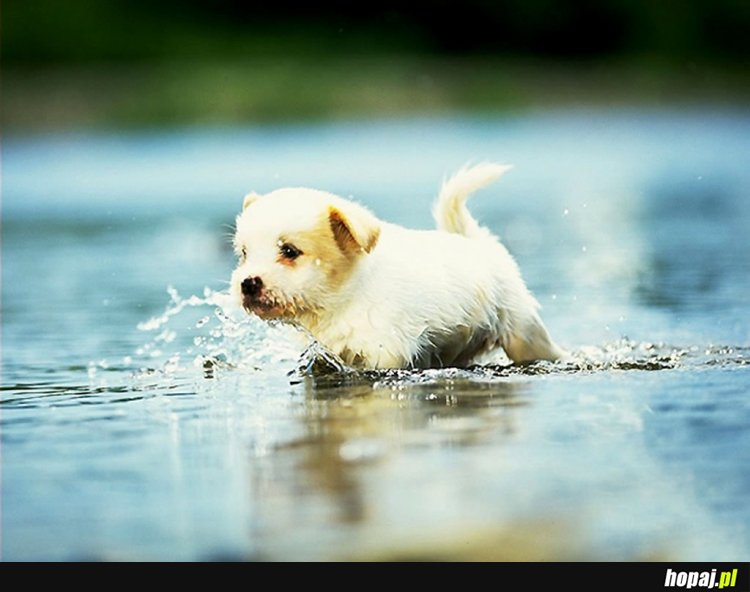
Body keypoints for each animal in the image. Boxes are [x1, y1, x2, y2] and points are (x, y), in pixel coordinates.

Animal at [232, 163, 568, 370]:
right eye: (244, 254)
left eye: (289, 251)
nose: (247, 283)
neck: (343, 301)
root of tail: (477, 243)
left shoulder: (384, 354)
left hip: (524, 333)